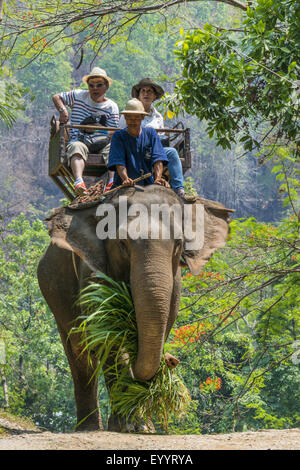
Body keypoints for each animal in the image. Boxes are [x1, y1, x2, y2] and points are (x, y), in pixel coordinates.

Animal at [37, 182, 233, 432]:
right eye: (122, 243)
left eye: (179, 244)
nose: (172, 360)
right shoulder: (91, 272)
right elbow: (108, 334)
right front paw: (130, 425)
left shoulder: (175, 282)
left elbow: (161, 325)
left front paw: (144, 424)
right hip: (54, 294)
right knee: (81, 356)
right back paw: (88, 428)